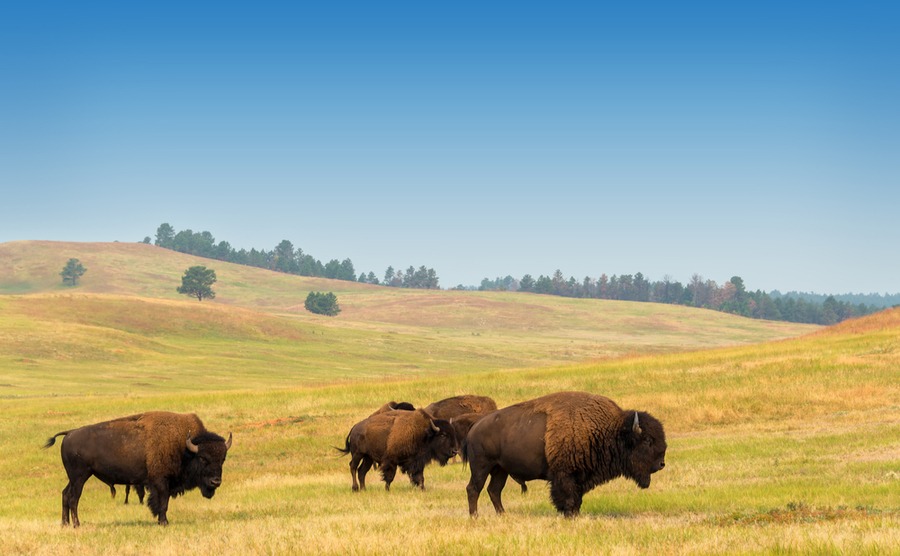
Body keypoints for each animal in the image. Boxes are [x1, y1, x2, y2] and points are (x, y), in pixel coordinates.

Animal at [45, 410, 232, 528]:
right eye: (203, 458)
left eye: (223, 459)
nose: (216, 482)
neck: (184, 447)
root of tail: (69, 433)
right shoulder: (161, 482)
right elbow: (163, 504)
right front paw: (164, 523)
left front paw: (161, 522)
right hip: (80, 477)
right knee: (73, 498)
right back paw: (76, 524)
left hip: (74, 478)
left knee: (65, 494)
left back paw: (65, 524)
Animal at [468, 390, 664, 516]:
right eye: (647, 440)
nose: (661, 463)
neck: (609, 429)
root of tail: (474, 428)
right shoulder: (565, 475)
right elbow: (568, 497)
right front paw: (569, 515)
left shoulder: (580, 477)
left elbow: (577, 498)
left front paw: (575, 514)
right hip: (481, 466)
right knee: (474, 488)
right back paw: (475, 517)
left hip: (500, 470)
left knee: (494, 490)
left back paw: (503, 515)